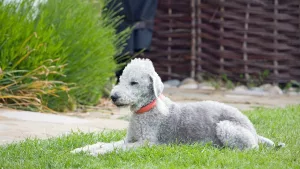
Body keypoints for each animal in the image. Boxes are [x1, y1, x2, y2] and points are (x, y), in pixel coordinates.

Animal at [72, 58, 278, 156]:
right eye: (121, 79)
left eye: (134, 83)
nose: (113, 97)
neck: (145, 110)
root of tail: (253, 130)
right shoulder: (129, 139)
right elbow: (106, 143)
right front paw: (81, 150)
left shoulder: (147, 143)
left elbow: (116, 149)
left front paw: (95, 154)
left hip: (226, 127)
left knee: (250, 149)